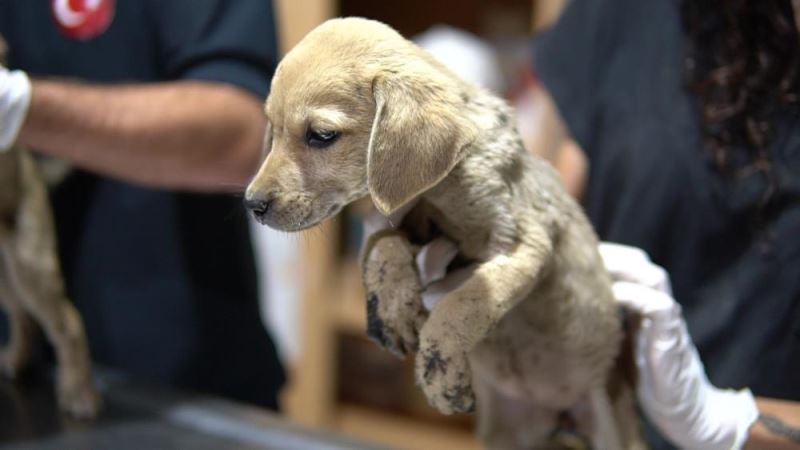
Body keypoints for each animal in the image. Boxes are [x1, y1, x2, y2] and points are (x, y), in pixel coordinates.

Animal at [0, 36, 100, 418]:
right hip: (6, 275)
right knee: (21, 315)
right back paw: (17, 359)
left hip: (30, 265)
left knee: (68, 323)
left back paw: (78, 393)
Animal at [247, 18, 648, 450]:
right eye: (272, 129)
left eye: (321, 135)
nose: (251, 204)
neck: (444, 185)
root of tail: (561, 419)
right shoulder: (400, 219)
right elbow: (383, 250)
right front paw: (393, 307)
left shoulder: (525, 243)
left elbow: (463, 303)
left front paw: (440, 370)